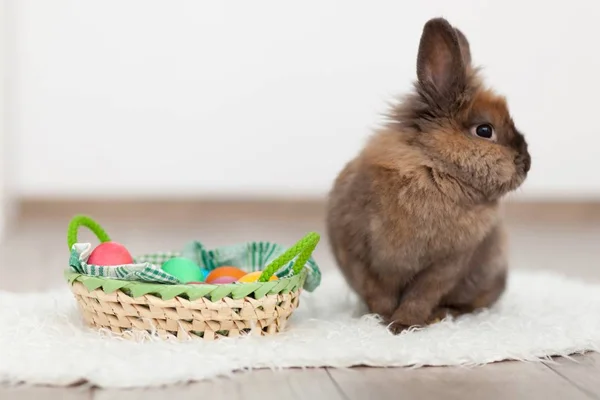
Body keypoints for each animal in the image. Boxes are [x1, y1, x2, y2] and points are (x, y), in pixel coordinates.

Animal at [328, 17, 528, 332]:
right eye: (485, 130)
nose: (527, 163)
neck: (434, 167)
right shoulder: (358, 254)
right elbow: (378, 293)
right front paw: (383, 321)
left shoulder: (446, 265)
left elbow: (420, 296)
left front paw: (403, 325)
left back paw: (443, 315)